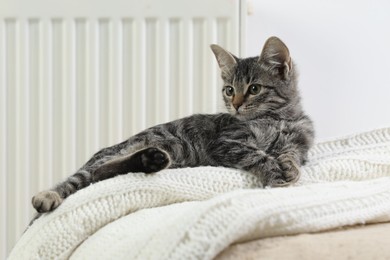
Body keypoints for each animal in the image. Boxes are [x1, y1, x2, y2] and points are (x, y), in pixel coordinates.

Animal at [32, 36, 316, 213]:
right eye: (229, 90)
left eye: (254, 89)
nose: (234, 105)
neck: (279, 118)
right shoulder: (227, 142)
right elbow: (257, 154)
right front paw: (275, 172)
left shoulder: (300, 143)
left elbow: (291, 154)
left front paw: (289, 167)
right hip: (124, 151)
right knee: (90, 175)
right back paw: (47, 196)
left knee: (101, 174)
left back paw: (150, 160)